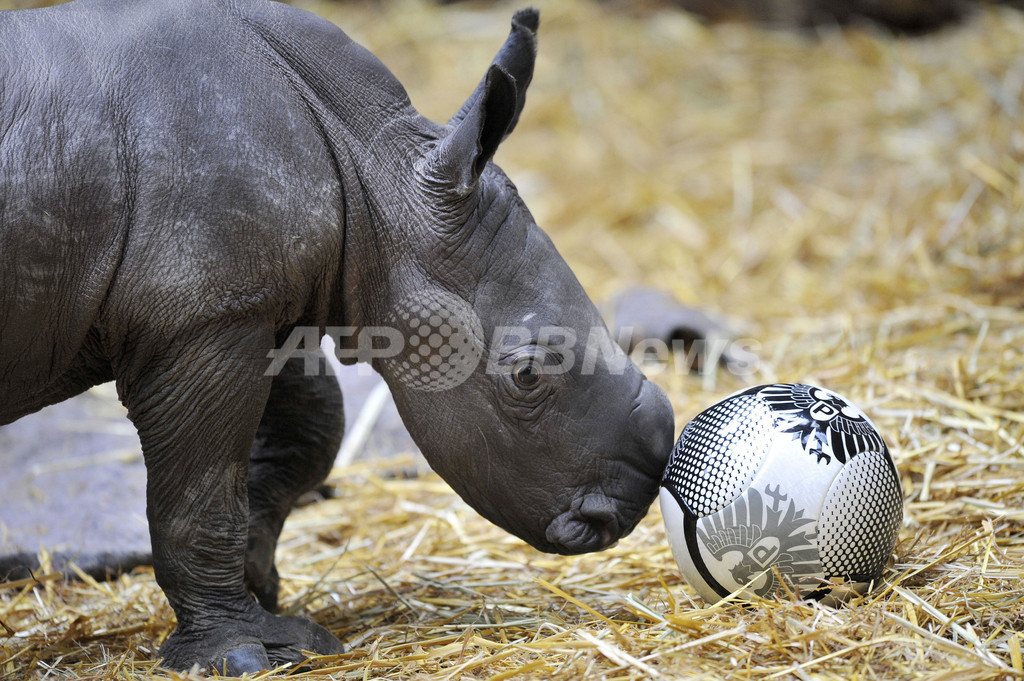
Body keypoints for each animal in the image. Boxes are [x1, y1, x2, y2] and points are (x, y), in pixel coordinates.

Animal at [0, 0, 675, 667]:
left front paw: (265, 593)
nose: (622, 512)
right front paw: (241, 653)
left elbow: (312, 428)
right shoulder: (198, 322)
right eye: (528, 375)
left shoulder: (242, 305)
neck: (374, 174)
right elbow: (200, 493)